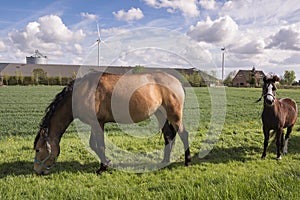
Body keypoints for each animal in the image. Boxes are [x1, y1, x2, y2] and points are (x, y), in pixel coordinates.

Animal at [33, 72, 192, 175]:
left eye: (38, 150)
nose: (37, 171)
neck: (82, 91)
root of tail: (177, 82)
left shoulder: (97, 124)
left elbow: (99, 145)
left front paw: (103, 167)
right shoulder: (96, 124)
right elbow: (93, 145)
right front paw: (107, 162)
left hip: (174, 115)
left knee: (183, 134)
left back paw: (188, 161)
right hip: (161, 115)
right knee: (168, 136)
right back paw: (164, 161)